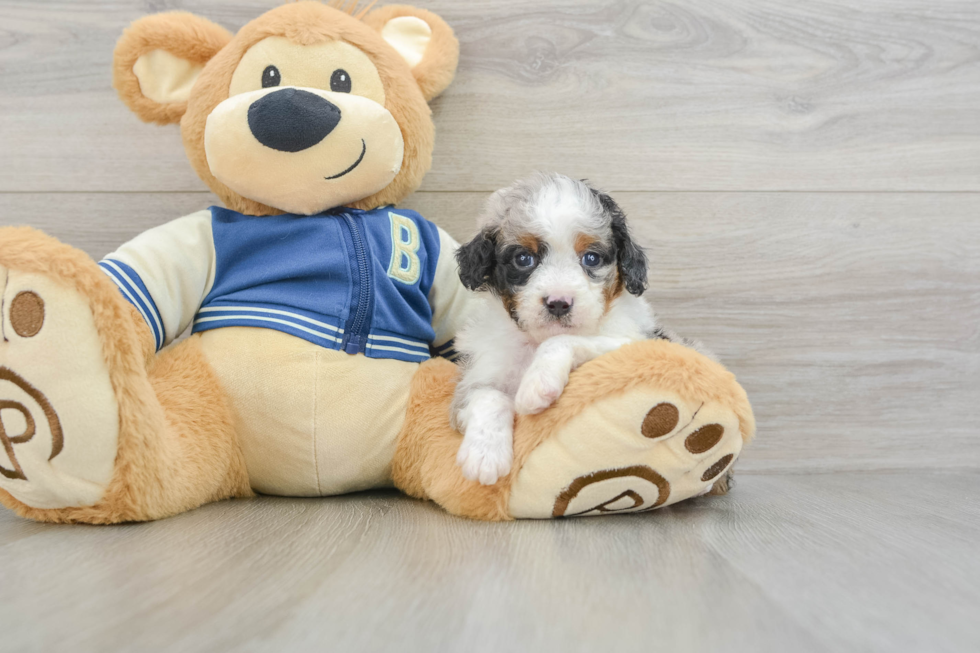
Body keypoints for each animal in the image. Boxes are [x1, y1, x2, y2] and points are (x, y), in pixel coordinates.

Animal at [450, 173, 680, 484]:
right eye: (523, 259)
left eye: (591, 258)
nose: (559, 303)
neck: (534, 341)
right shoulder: (477, 375)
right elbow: (488, 396)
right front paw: (485, 455)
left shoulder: (636, 344)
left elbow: (563, 341)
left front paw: (536, 384)